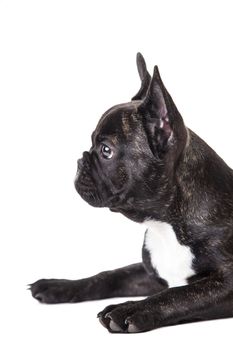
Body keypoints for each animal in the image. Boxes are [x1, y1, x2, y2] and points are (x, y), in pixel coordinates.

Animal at [30, 53, 233, 332]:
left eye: (106, 150)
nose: (80, 161)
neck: (166, 224)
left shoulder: (225, 283)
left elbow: (176, 294)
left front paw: (129, 309)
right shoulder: (148, 272)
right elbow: (109, 276)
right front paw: (58, 286)